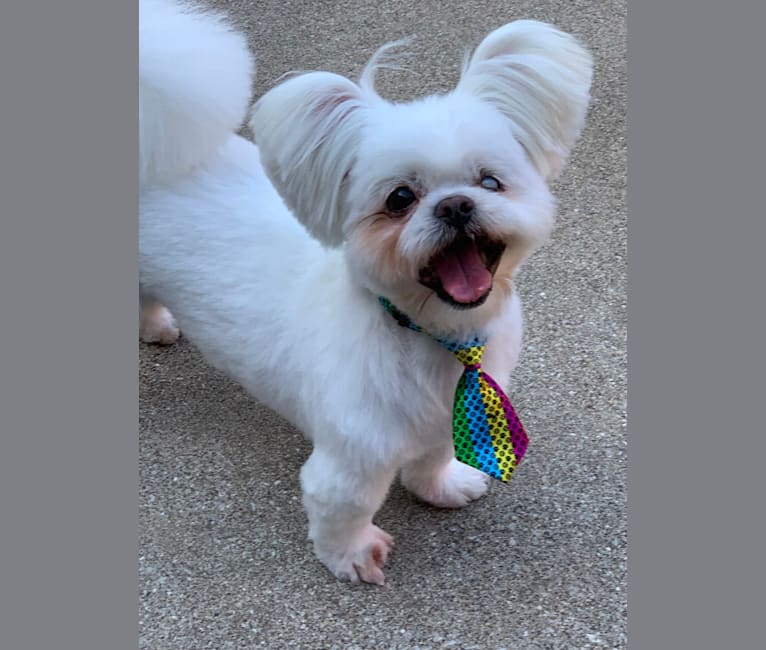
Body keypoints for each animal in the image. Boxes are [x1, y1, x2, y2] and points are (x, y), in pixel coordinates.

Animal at [140, 0, 592, 584]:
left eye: (490, 182)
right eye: (400, 198)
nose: (455, 205)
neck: (428, 335)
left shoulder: (439, 421)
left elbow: (432, 457)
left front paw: (441, 485)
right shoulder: (350, 459)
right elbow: (344, 508)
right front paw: (352, 556)